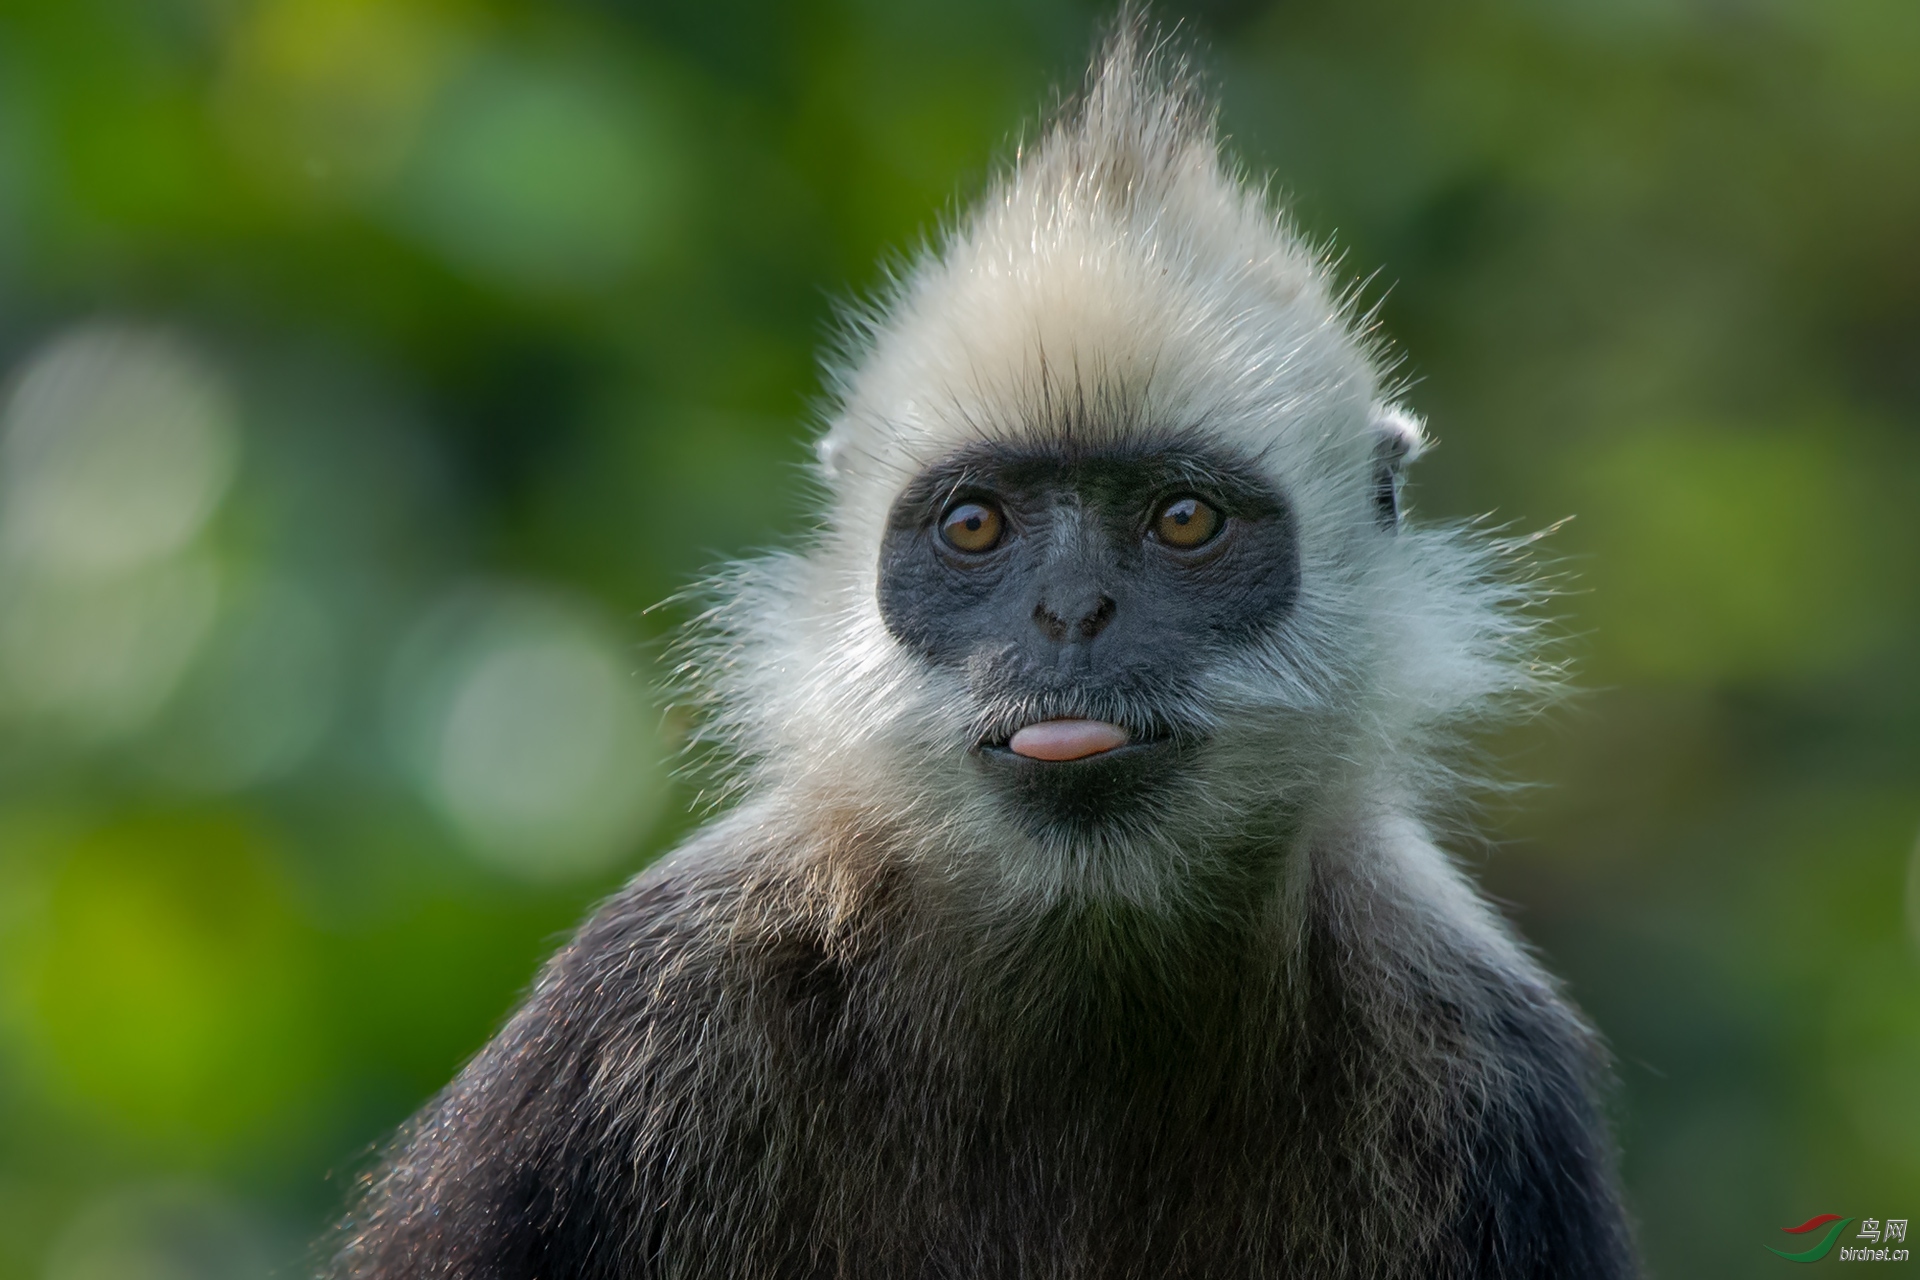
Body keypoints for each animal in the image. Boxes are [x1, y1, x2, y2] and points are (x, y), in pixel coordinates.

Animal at [326, 20, 1635, 1280]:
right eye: (975, 526)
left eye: (1183, 520)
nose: (1069, 612)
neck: (1081, 957)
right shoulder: (630, 1001)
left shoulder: (1488, 1059)